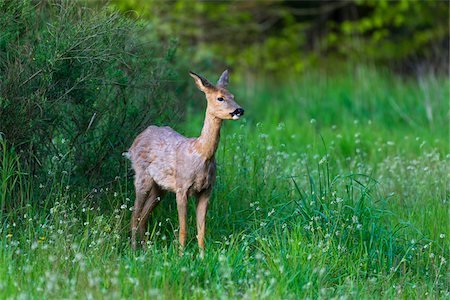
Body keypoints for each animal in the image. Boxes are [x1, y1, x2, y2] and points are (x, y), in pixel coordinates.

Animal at [128, 69, 244, 255]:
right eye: (220, 98)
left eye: (232, 95)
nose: (239, 110)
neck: (201, 154)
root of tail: (137, 140)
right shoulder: (182, 188)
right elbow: (183, 229)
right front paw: (181, 256)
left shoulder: (206, 190)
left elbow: (201, 230)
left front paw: (203, 256)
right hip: (142, 177)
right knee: (134, 214)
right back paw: (133, 251)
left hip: (160, 188)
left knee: (143, 217)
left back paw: (146, 251)